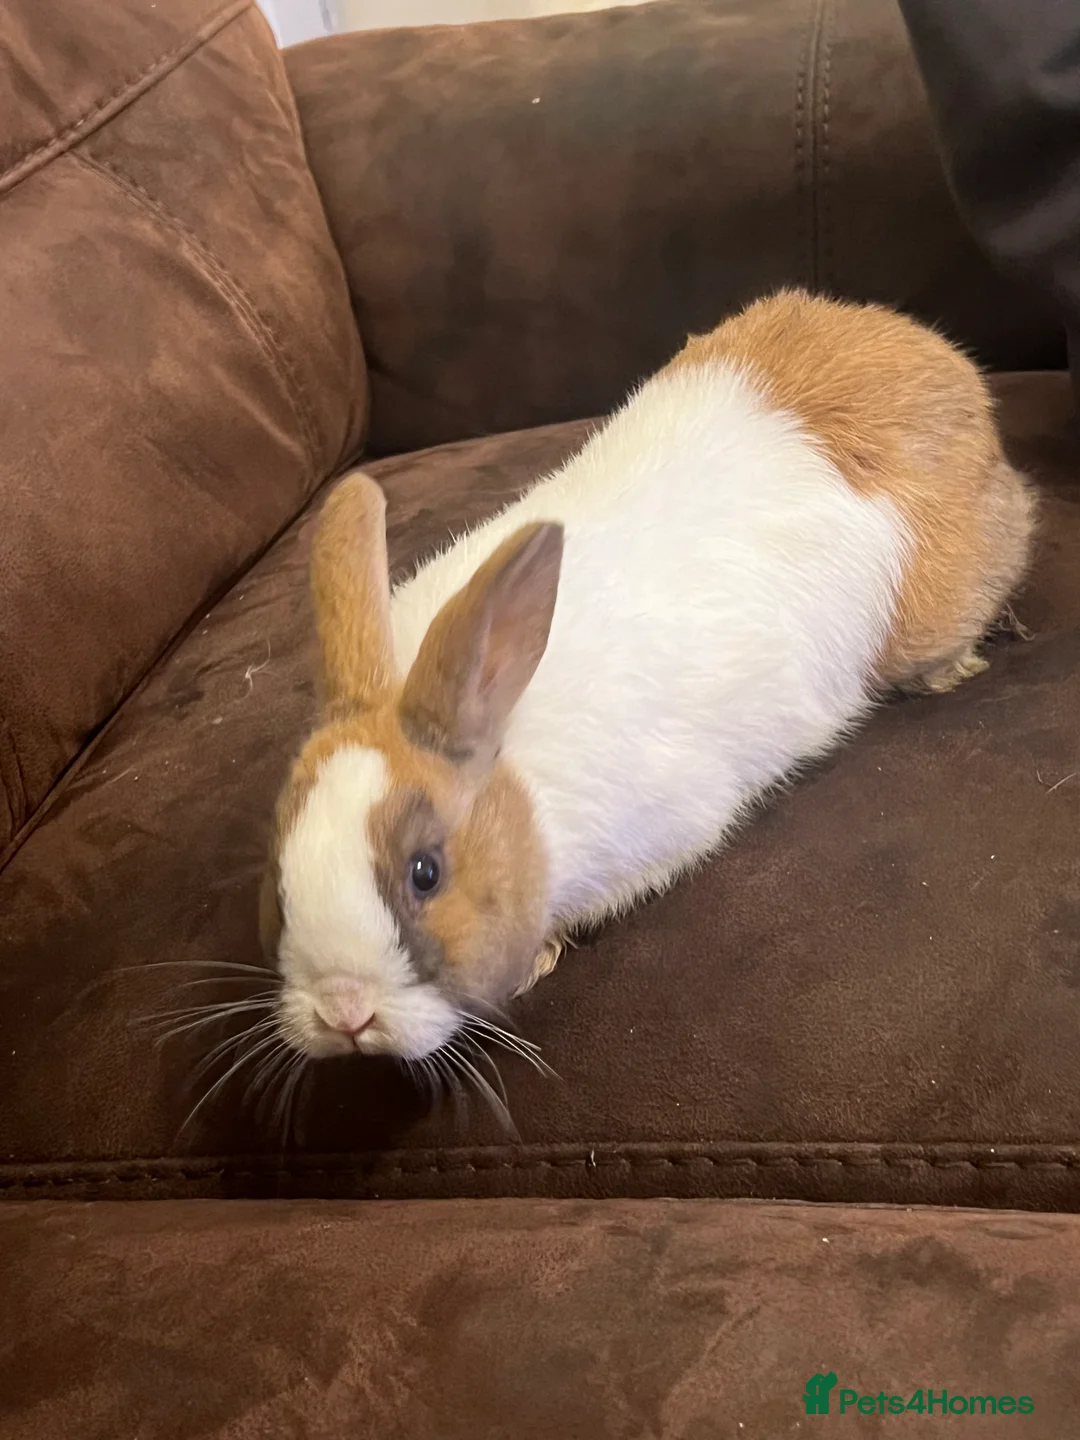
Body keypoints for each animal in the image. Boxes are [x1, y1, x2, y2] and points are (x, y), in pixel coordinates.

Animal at [262, 288, 1034, 1065]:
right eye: (280, 879)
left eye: (426, 872)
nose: (344, 1011)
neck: (513, 762)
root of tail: (946, 367)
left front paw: (541, 954)